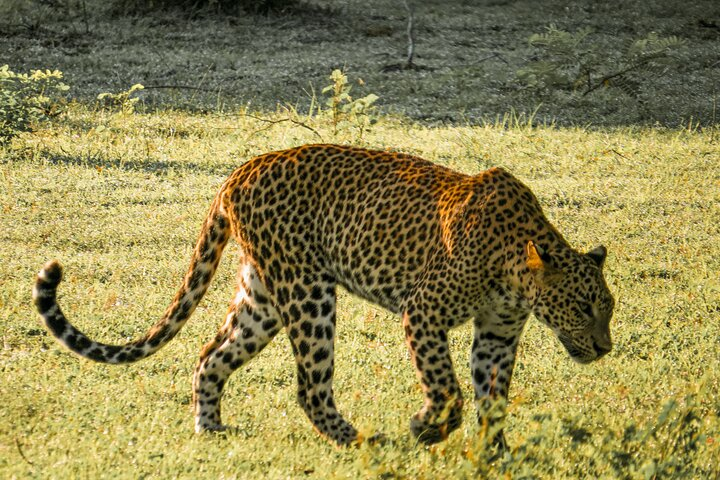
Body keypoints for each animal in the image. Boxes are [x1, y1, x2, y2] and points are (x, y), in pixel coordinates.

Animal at [35, 142, 612, 446]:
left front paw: (496, 454)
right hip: (308, 294)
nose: (605, 348)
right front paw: (427, 428)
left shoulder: (497, 334)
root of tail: (238, 171)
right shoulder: (423, 312)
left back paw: (211, 429)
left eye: (607, 309)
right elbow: (447, 386)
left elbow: (493, 399)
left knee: (211, 354)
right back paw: (359, 440)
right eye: (584, 307)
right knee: (309, 387)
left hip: (263, 297)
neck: (518, 274)